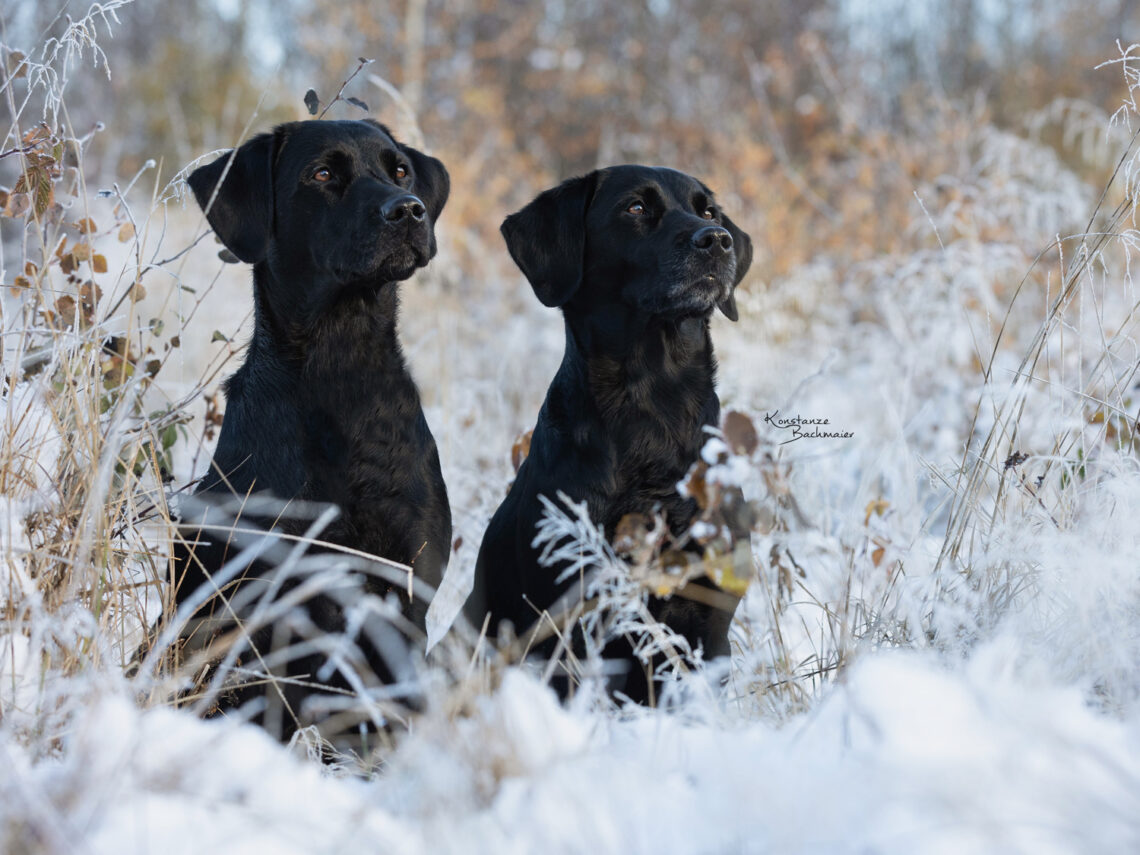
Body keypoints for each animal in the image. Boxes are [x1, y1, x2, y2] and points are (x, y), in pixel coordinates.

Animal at [173, 117, 449, 738]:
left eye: (399, 170)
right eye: (322, 174)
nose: (408, 210)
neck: (341, 370)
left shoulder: (407, 585)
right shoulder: (277, 594)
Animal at [467, 164, 752, 706]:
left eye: (707, 210)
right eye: (635, 208)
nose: (717, 239)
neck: (653, 404)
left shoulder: (708, 616)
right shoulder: (567, 619)